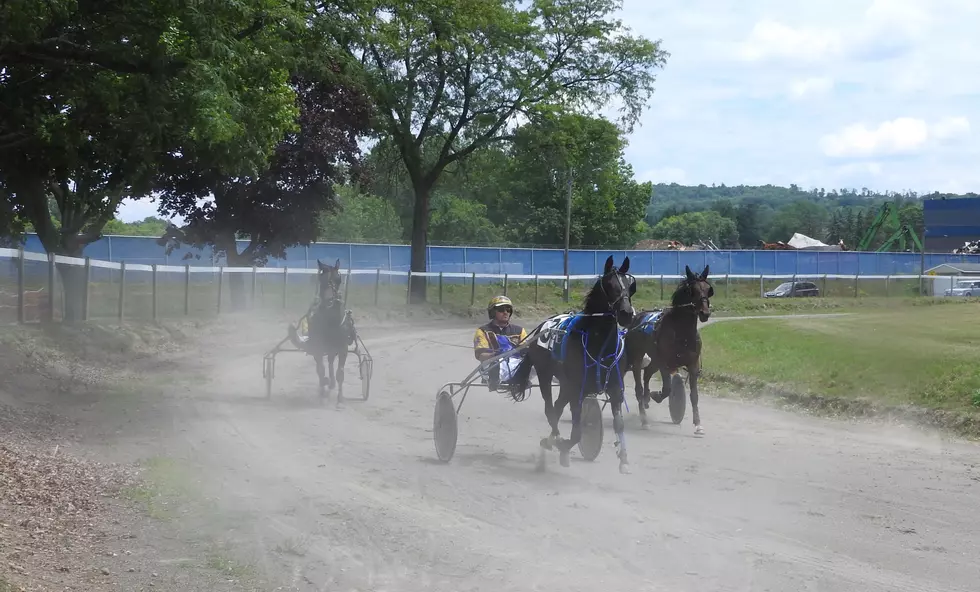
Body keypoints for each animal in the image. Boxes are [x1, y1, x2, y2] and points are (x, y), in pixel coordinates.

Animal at [288, 260, 356, 408]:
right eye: (321, 279)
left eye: (338, 278)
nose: (330, 300)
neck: (331, 321)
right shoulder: (318, 347)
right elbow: (321, 370)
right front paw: (323, 392)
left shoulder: (342, 348)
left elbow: (340, 373)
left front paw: (340, 398)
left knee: (330, 362)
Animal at [510, 256, 640, 474]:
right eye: (610, 285)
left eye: (631, 286)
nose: (626, 314)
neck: (599, 345)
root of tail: (543, 324)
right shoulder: (578, 390)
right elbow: (577, 432)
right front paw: (562, 444)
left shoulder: (615, 388)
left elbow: (619, 424)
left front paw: (624, 459)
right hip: (546, 376)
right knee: (550, 410)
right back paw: (553, 440)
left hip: (565, 384)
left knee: (556, 408)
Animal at [628, 264, 712, 434]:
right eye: (692, 290)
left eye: (708, 289)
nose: (705, 313)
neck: (682, 333)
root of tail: (637, 317)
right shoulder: (664, 363)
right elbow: (667, 389)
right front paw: (656, 395)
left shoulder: (693, 364)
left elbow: (694, 395)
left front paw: (698, 424)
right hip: (638, 359)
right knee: (639, 386)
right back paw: (644, 418)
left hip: (653, 360)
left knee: (647, 374)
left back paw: (646, 398)